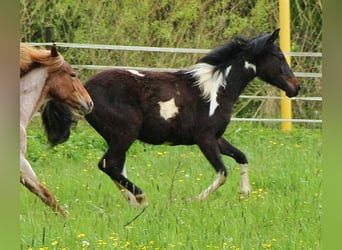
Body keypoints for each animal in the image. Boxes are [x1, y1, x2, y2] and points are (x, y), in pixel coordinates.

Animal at [42, 28, 300, 209]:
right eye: (279, 56)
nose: (295, 87)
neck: (217, 89)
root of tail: (85, 91)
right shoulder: (204, 138)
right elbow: (222, 173)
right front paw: (195, 200)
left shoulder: (217, 137)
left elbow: (242, 157)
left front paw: (244, 192)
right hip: (126, 133)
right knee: (108, 164)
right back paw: (141, 198)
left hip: (117, 137)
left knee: (115, 167)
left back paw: (134, 201)